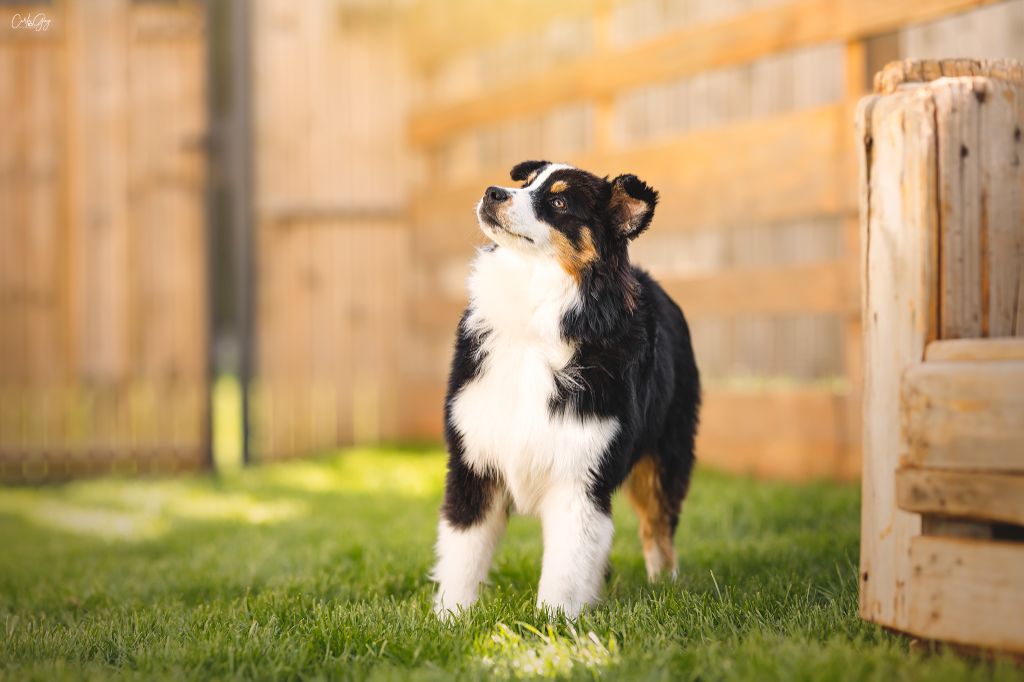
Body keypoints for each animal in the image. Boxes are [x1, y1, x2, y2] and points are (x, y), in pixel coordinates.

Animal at [432, 159, 704, 614]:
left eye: (558, 202)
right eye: (526, 183)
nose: (491, 192)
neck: (535, 324)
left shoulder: (581, 477)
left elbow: (565, 567)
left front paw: (552, 624)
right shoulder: (474, 463)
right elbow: (462, 555)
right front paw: (450, 619)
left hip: (665, 456)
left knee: (658, 530)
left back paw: (664, 588)